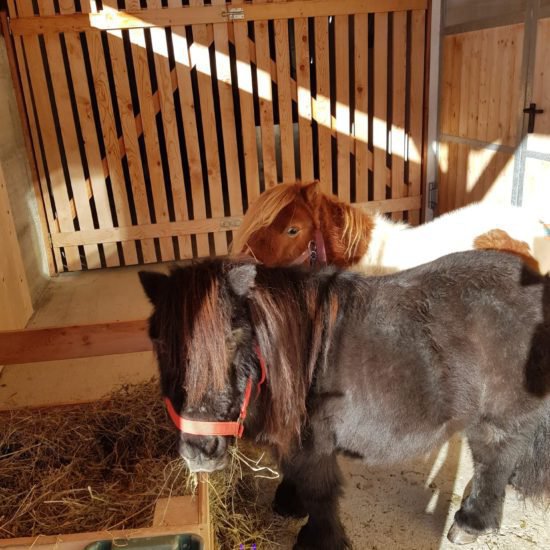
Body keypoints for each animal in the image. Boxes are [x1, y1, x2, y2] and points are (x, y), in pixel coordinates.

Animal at [140, 251, 550, 550]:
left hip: (498, 422)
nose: (200, 450)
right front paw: (289, 504)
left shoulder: (314, 445)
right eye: (161, 343)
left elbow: (319, 494)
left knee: (493, 464)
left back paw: (471, 523)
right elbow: (294, 474)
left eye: (233, 339)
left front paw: (319, 540)